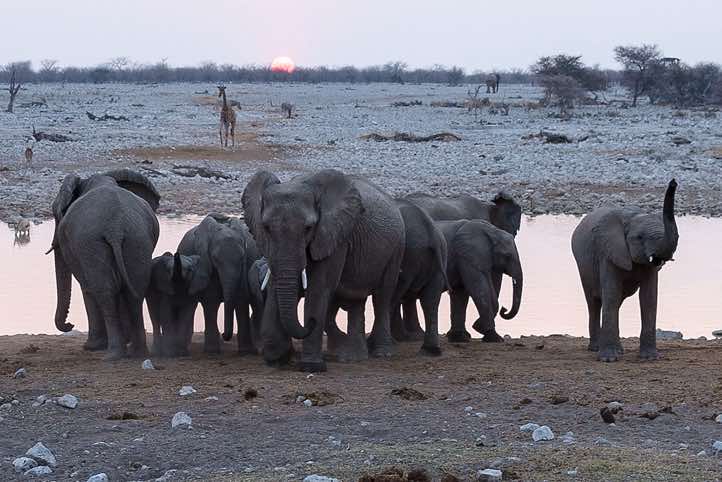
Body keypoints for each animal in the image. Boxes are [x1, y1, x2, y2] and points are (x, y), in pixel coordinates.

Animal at [50, 169, 160, 360]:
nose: (70, 325)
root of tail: (116, 228)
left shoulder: (74, 244)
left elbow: (87, 287)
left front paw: (91, 347)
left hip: (92, 243)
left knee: (104, 292)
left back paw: (112, 355)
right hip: (137, 239)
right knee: (135, 290)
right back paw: (138, 353)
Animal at [146, 214, 261, 356]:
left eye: (241, 258)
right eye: (215, 258)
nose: (224, 335)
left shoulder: (245, 264)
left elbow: (241, 298)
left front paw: (247, 352)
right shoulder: (204, 261)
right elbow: (211, 301)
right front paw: (212, 352)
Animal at [242, 169, 405, 372]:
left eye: (308, 228)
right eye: (266, 228)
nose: (311, 322)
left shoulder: (334, 236)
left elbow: (318, 289)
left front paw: (311, 367)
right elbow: (275, 287)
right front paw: (276, 360)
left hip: (396, 248)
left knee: (382, 297)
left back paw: (382, 354)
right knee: (356, 300)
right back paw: (353, 358)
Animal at [388, 199, 449, 354]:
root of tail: (431, 233)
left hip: (409, 255)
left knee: (395, 295)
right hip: (438, 257)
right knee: (430, 300)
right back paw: (429, 350)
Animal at [571, 179, 679, 362]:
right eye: (639, 238)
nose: (673, 182)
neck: (632, 216)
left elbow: (649, 298)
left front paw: (650, 358)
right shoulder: (607, 252)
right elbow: (611, 294)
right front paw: (608, 359)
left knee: (615, 302)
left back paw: (617, 349)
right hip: (583, 266)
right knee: (594, 302)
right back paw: (596, 348)